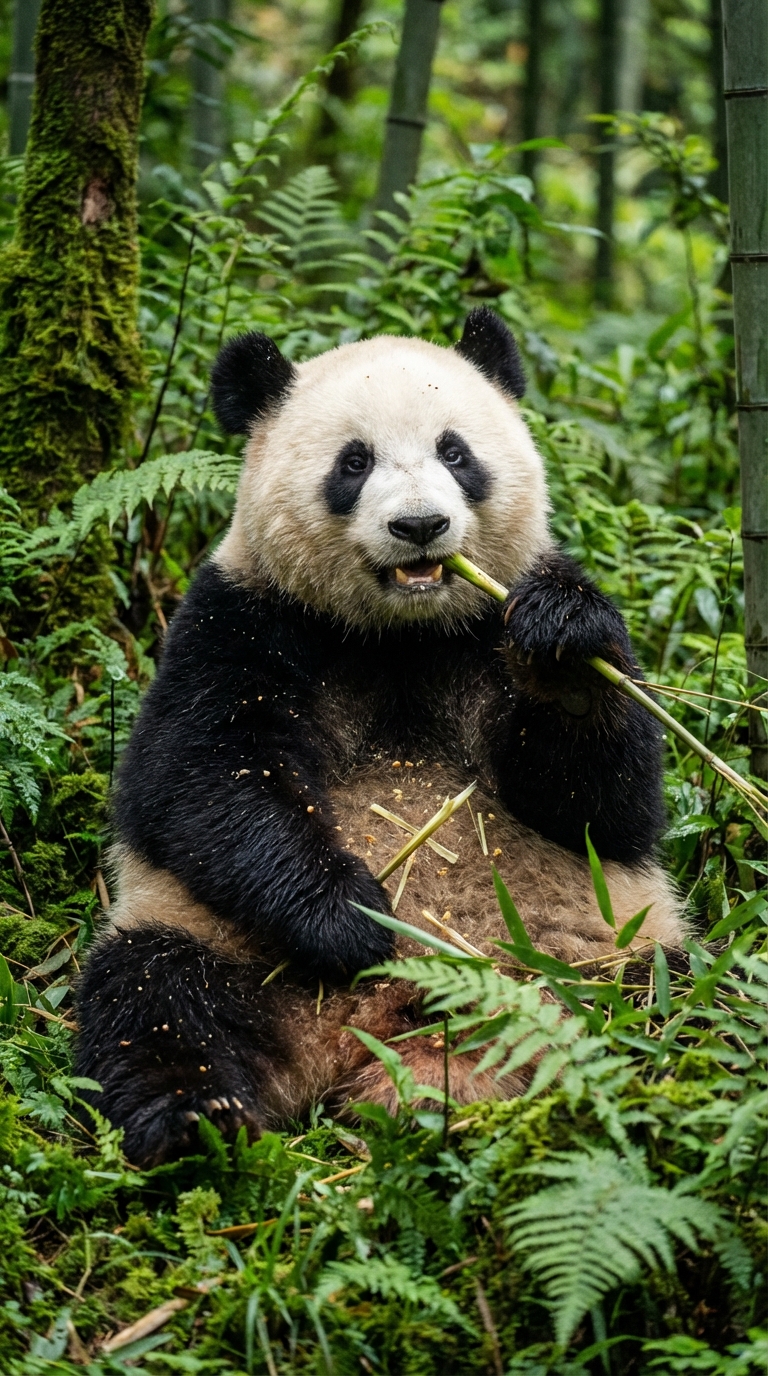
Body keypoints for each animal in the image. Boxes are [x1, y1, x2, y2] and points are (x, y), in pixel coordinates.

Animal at [76, 308, 684, 1166]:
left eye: (455, 452)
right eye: (353, 462)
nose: (420, 526)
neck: (401, 635)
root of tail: (363, 1041)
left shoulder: (488, 628)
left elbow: (607, 806)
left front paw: (562, 649)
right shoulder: (243, 618)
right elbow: (201, 776)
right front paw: (352, 917)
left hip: (593, 951)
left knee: (679, 1007)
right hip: (222, 948)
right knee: (152, 1001)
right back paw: (196, 1122)